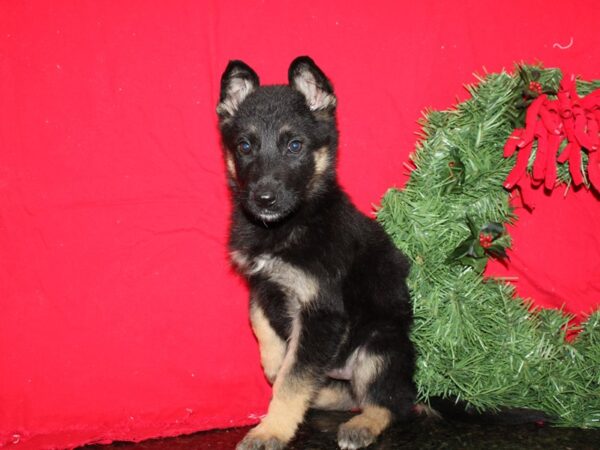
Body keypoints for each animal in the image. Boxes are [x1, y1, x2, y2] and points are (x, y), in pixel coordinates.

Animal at [217, 57, 418, 450]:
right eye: (245, 146)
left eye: (295, 146)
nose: (263, 200)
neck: (289, 225)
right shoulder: (261, 284)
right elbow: (262, 326)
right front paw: (274, 362)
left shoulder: (322, 313)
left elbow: (294, 380)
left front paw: (271, 430)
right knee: (345, 394)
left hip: (380, 345)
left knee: (388, 402)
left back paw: (362, 425)